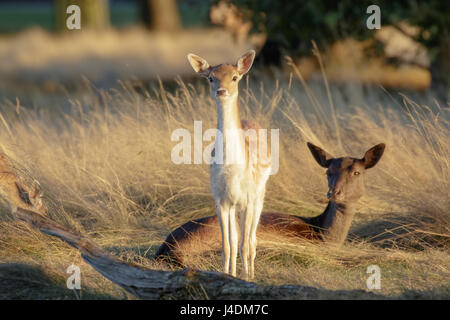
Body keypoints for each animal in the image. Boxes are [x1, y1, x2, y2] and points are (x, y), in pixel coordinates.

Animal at [185, 50, 270, 280]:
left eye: (235, 77)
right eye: (211, 78)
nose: (221, 90)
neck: (234, 170)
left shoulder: (249, 199)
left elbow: (245, 245)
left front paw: (247, 278)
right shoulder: (220, 199)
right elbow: (227, 245)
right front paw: (226, 276)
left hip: (259, 195)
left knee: (252, 240)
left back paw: (250, 272)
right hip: (233, 206)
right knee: (235, 239)